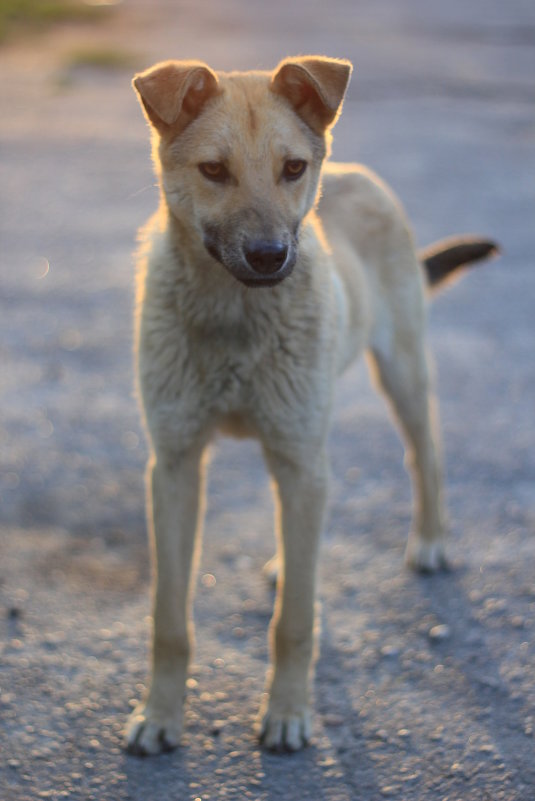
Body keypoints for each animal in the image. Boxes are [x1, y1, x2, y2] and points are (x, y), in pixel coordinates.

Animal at [124, 56, 498, 756]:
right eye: (213, 171)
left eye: (293, 168)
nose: (272, 257)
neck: (235, 316)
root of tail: (358, 175)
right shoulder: (176, 468)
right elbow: (170, 619)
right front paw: (160, 715)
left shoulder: (300, 461)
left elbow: (294, 620)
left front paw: (289, 713)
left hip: (400, 374)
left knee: (425, 455)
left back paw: (431, 539)